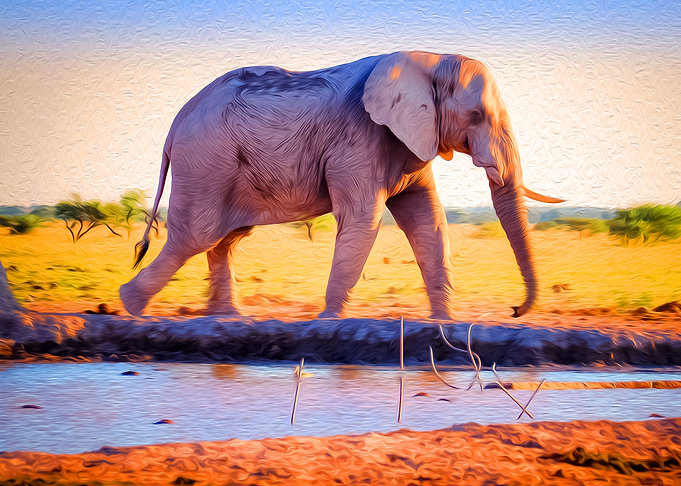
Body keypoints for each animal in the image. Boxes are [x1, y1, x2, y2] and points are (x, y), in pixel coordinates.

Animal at [119, 51, 562, 320]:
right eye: (476, 116)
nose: (514, 312)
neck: (431, 59)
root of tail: (175, 122)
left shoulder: (408, 140)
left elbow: (428, 221)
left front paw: (445, 322)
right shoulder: (360, 138)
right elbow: (364, 219)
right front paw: (329, 320)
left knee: (225, 239)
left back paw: (228, 318)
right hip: (206, 163)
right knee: (197, 235)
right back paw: (132, 306)